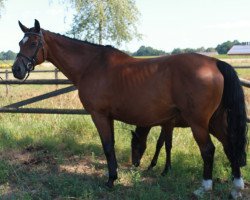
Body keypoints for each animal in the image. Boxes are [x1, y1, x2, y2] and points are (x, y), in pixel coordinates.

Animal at [12, 19, 248, 198]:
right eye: (20, 43)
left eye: (34, 43)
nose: (17, 70)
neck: (91, 65)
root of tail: (214, 63)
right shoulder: (109, 116)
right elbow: (112, 146)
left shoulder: (99, 115)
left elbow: (108, 146)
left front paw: (110, 180)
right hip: (215, 120)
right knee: (230, 145)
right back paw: (236, 188)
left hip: (198, 123)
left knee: (208, 150)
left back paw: (204, 188)